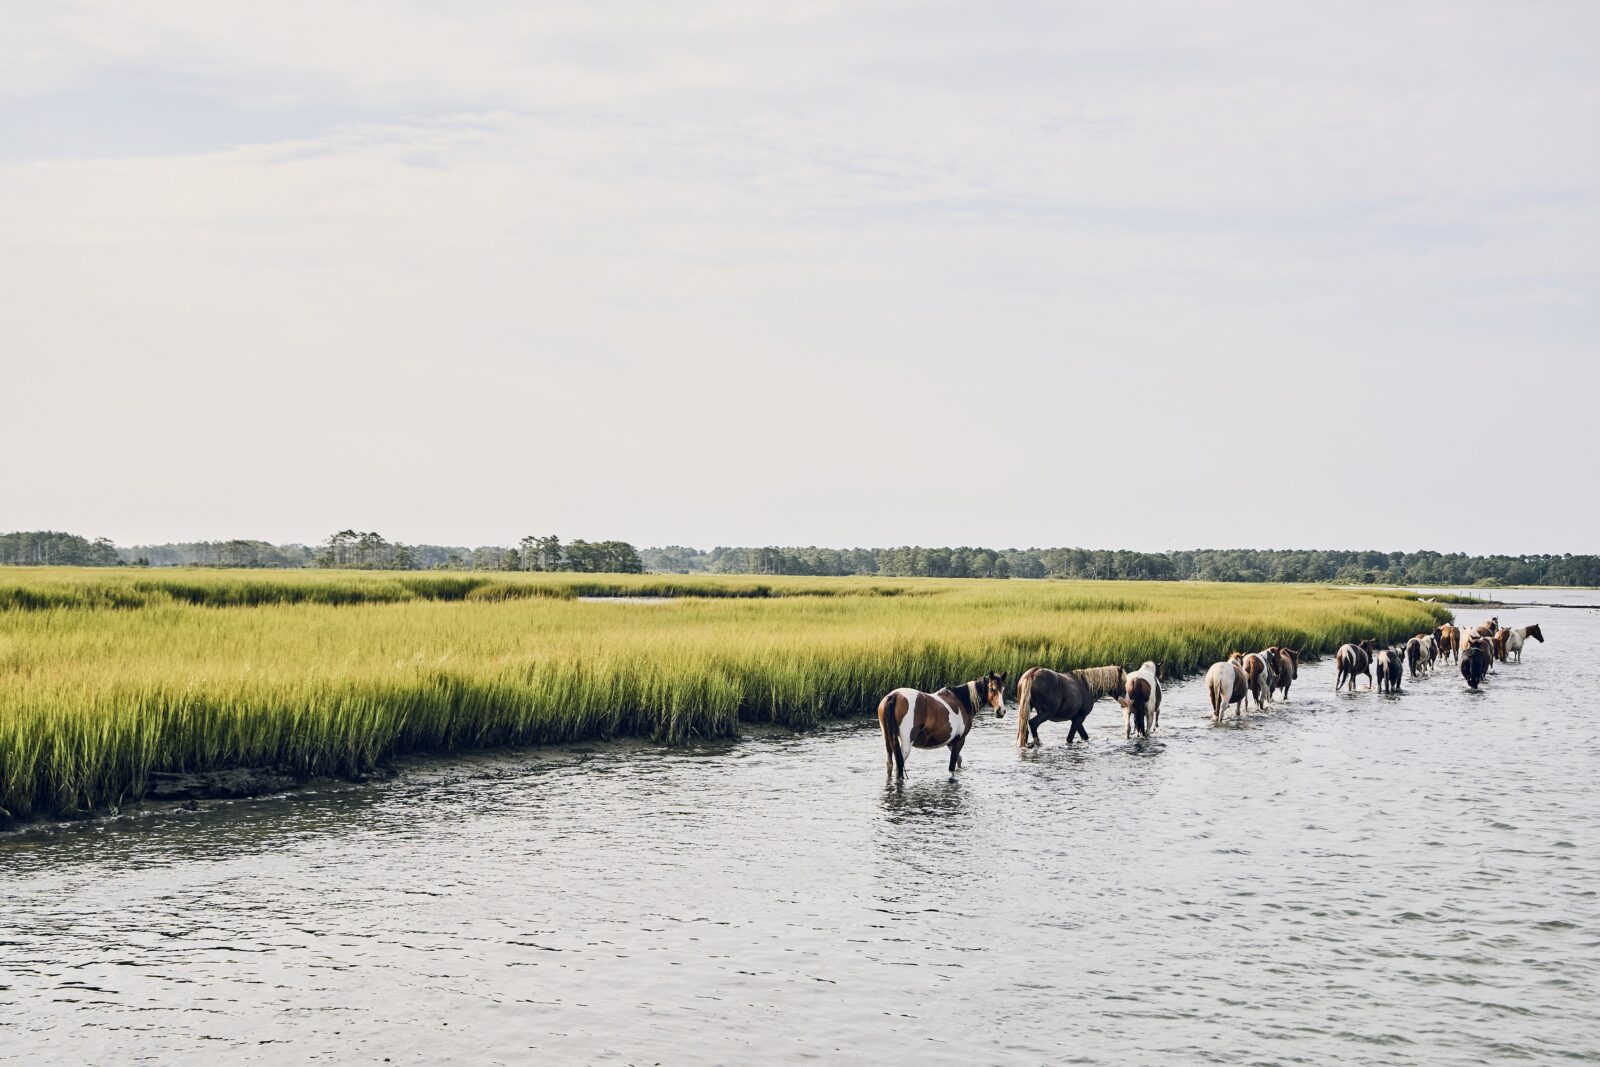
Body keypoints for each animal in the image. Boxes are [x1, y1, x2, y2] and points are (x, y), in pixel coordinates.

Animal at [878, 672, 1006, 778]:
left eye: (1003, 689)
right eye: (992, 689)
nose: (1001, 711)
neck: (962, 700)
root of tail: (894, 695)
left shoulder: (950, 742)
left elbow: (959, 760)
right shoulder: (959, 740)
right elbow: (952, 765)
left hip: (887, 739)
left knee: (890, 764)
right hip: (906, 744)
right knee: (899, 765)